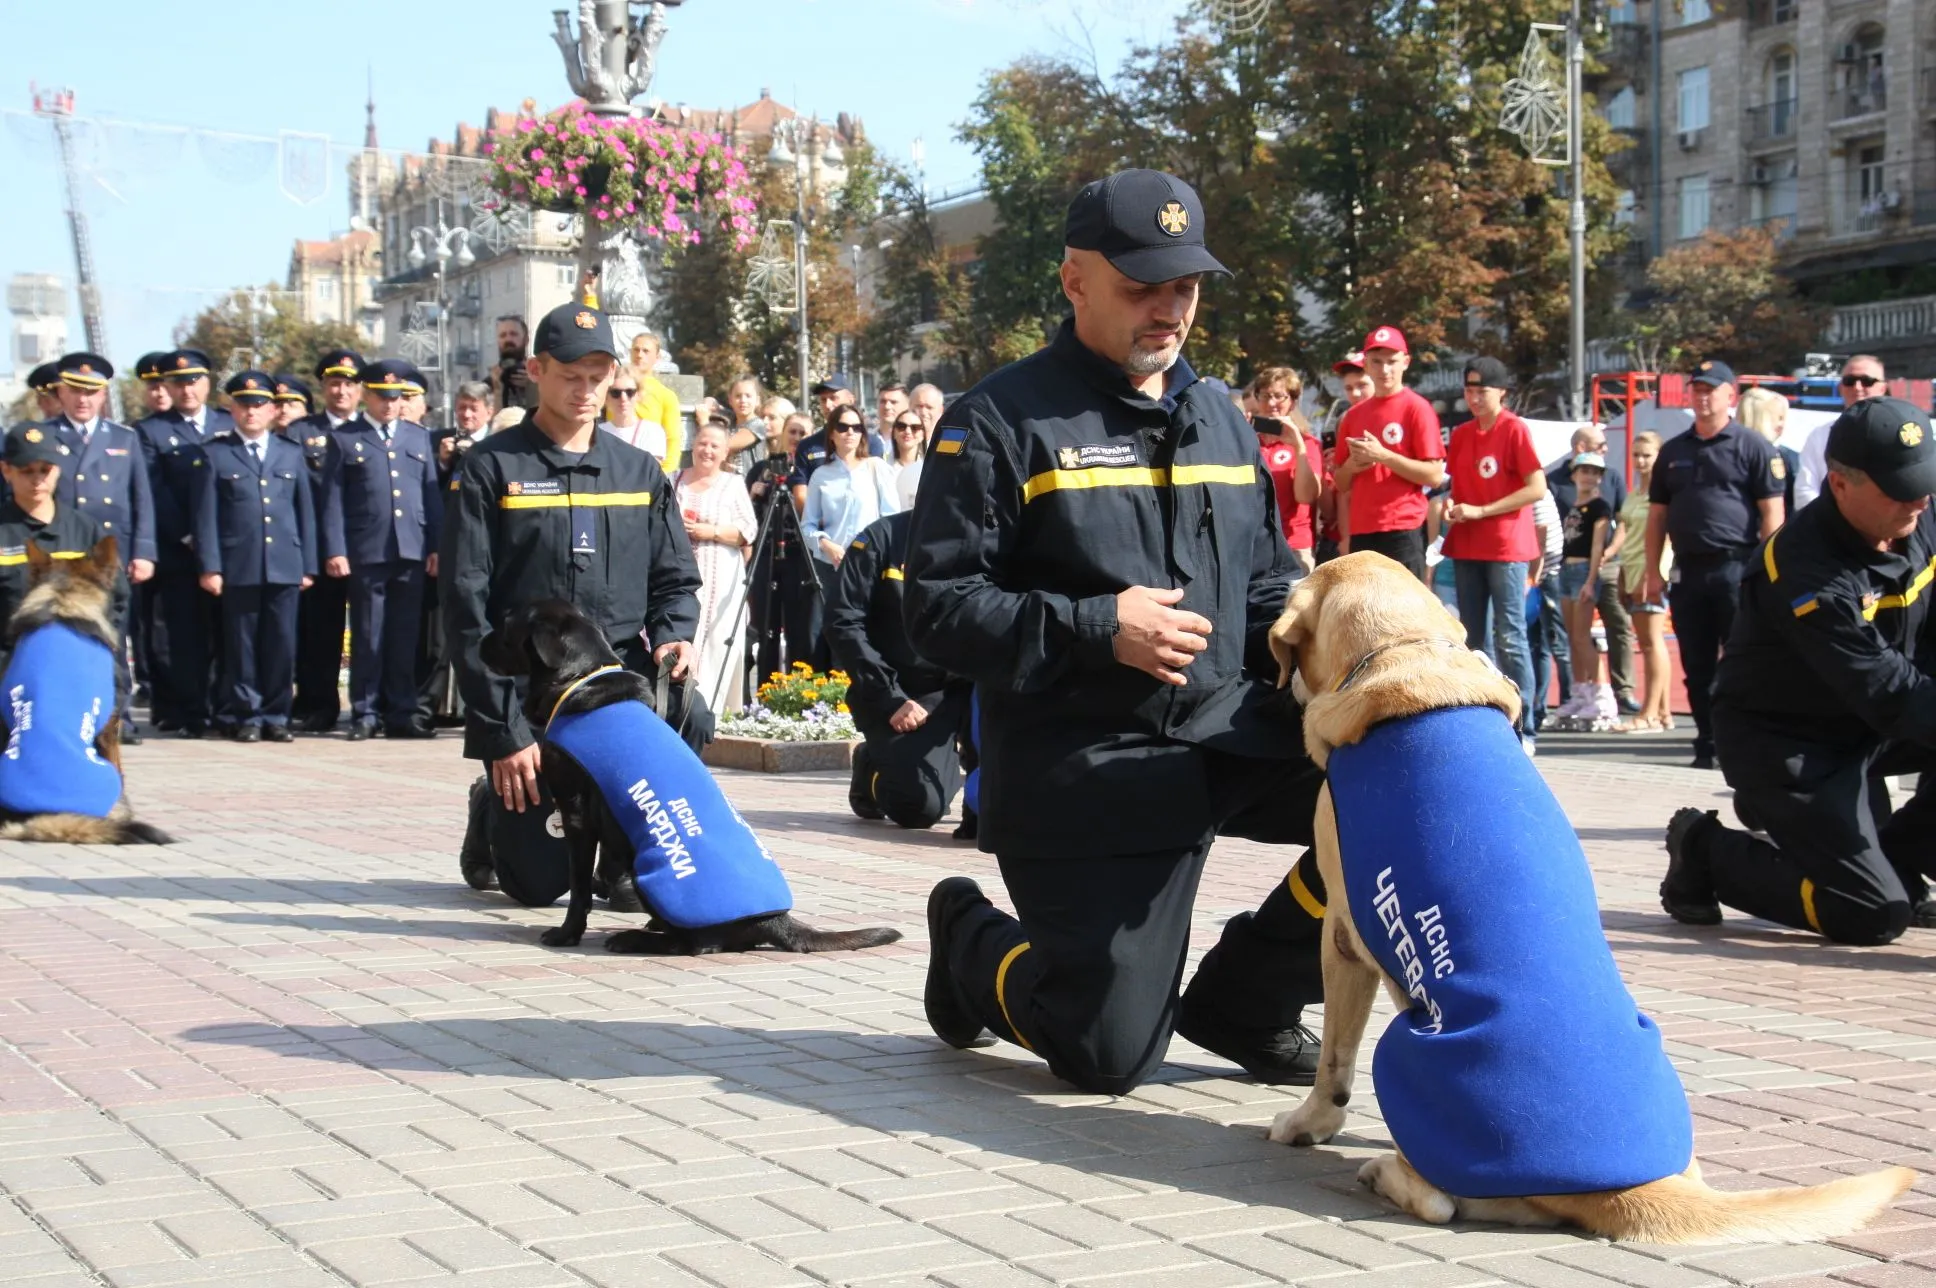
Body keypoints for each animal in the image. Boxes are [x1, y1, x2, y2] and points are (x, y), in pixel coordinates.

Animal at [484, 592, 906, 952]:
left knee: (695, 943)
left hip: (652, 872)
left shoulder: (575, 814)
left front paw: (566, 933)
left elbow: (579, 888)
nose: (479, 645)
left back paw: (635, 938)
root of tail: (775, 919)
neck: (579, 679)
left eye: (506, 626)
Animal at [1262, 553, 1912, 1247]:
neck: (1401, 654)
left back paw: (1384, 1171)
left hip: (1403, 1049)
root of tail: (1627, 1188)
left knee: (1440, 1200)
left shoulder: (1342, 936)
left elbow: (1335, 1063)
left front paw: (1307, 1125)